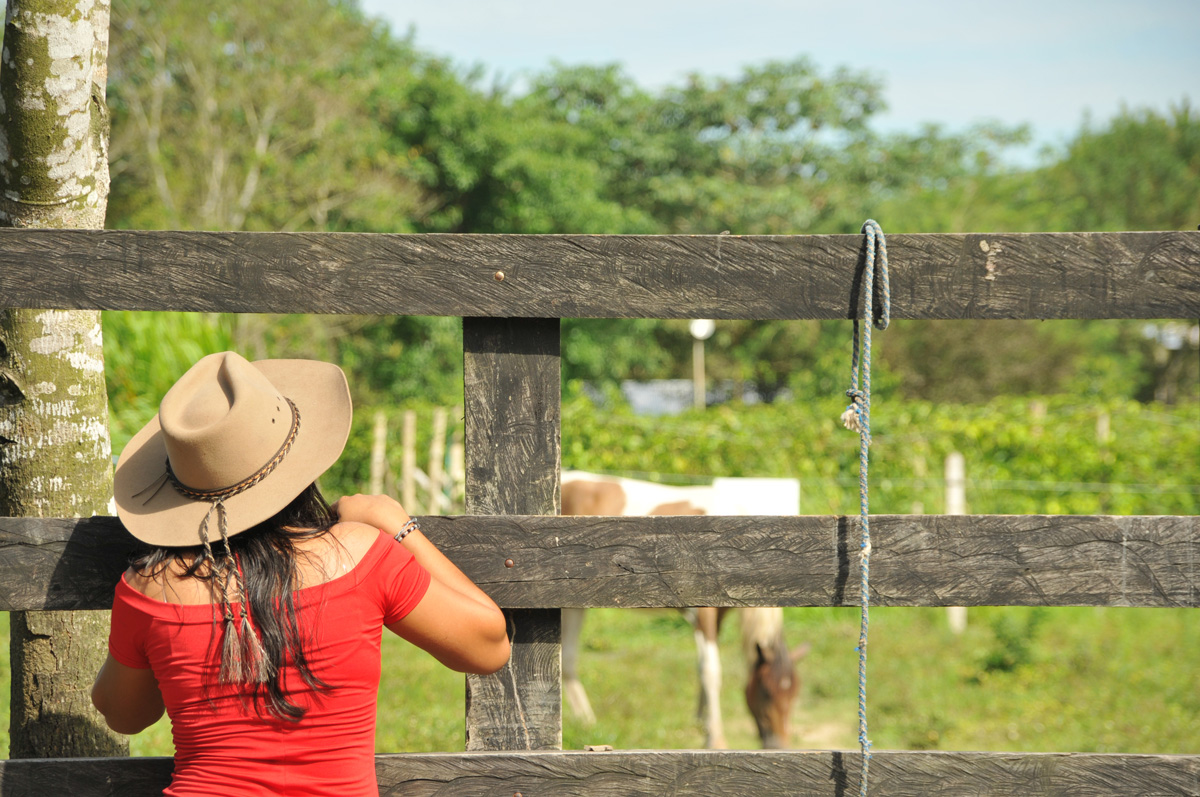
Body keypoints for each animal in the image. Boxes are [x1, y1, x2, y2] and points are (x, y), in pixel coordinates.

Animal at [559, 472, 806, 748]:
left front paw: (701, 723)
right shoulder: (703, 613)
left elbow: (704, 669)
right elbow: (711, 671)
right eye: (765, 692)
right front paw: (715, 739)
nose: (777, 745)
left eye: (794, 694)